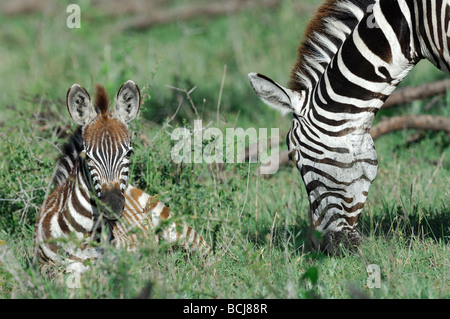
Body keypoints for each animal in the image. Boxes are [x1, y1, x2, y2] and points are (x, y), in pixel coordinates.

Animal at [33, 81, 213, 276]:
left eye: (128, 153)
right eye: (87, 157)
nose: (113, 207)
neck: (83, 233)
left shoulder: (127, 251)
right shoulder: (43, 266)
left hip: (177, 226)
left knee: (208, 253)